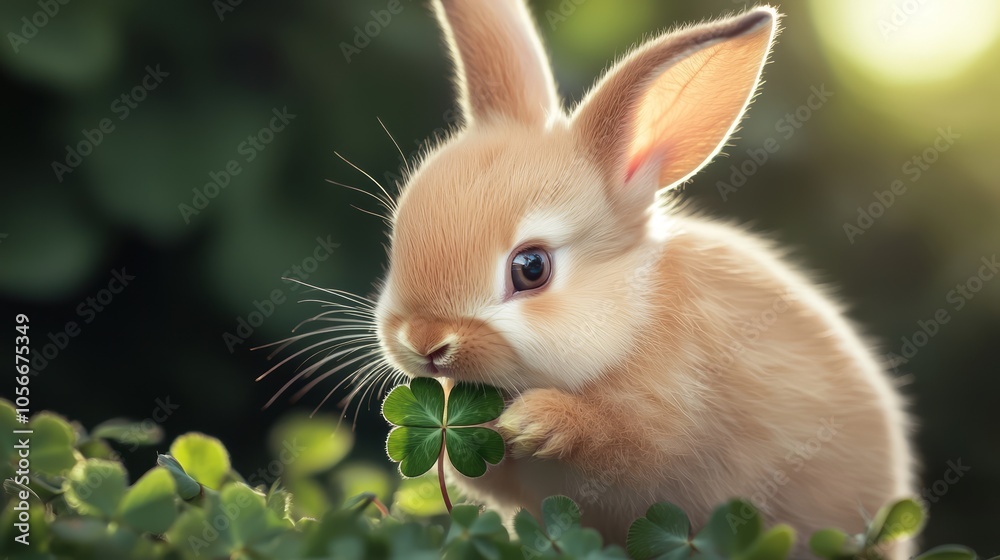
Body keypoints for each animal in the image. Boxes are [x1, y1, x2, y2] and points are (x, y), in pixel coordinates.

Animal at [368, 1, 916, 557]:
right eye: (396, 235)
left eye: (531, 268)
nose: (424, 341)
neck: (630, 319)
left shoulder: (666, 423)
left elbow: (620, 441)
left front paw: (533, 421)